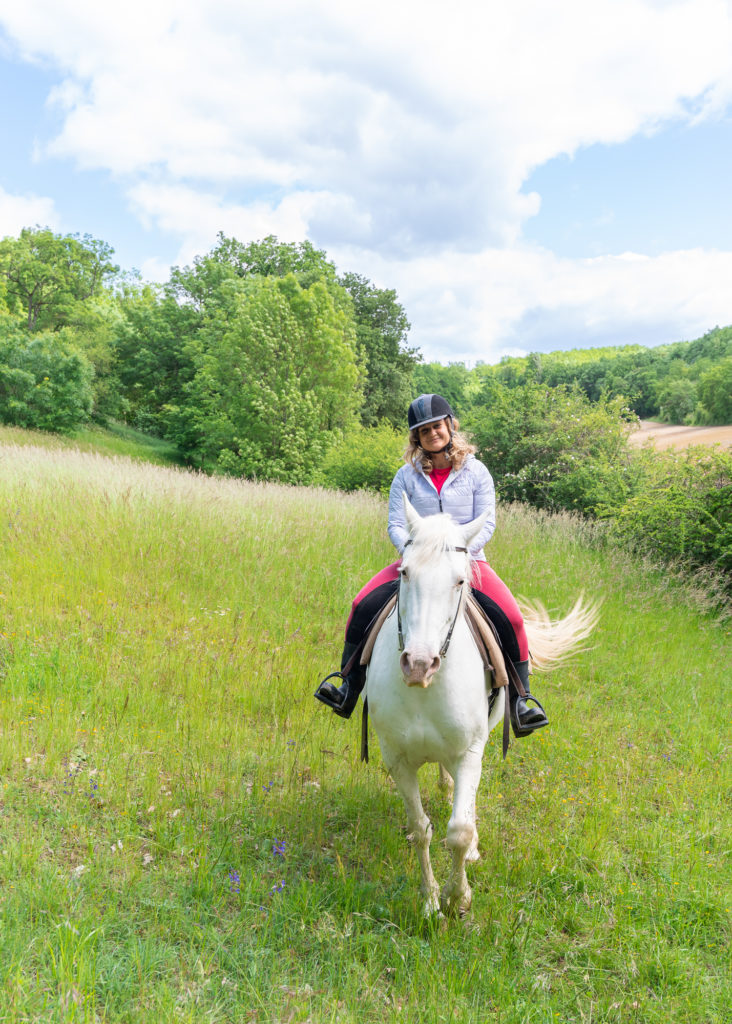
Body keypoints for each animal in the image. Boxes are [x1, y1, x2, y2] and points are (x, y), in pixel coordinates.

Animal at [366, 497, 601, 921]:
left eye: (460, 581)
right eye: (405, 573)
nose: (419, 664)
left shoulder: (469, 751)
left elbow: (458, 831)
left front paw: (457, 898)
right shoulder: (397, 759)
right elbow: (422, 829)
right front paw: (430, 901)